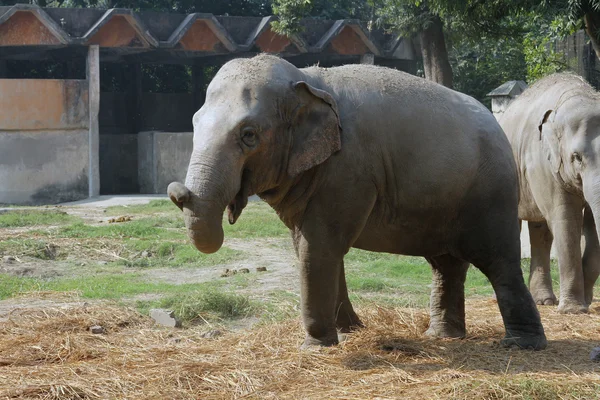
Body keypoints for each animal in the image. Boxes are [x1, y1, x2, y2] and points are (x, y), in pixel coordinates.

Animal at [169, 54, 548, 348]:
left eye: (249, 135)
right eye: (194, 123)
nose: (177, 192)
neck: (307, 80)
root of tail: (499, 124)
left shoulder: (348, 170)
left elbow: (319, 246)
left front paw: (316, 345)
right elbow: (311, 246)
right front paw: (349, 331)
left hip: (491, 194)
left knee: (499, 261)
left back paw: (522, 344)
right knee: (447, 265)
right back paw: (441, 337)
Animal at [500, 73, 600, 314]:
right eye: (576, 157)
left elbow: (590, 226)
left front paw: (586, 300)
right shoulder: (543, 164)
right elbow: (566, 220)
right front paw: (573, 310)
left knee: (541, 232)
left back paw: (544, 301)